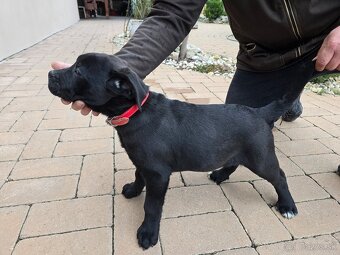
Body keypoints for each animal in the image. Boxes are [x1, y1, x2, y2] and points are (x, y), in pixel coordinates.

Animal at [47, 52, 298, 250]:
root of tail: (259, 112)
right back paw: (219, 175)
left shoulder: (158, 174)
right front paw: (133, 190)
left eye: (78, 71)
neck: (134, 113)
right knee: (233, 162)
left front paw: (148, 233)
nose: (50, 74)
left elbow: (152, 206)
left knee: (280, 177)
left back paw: (287, 206)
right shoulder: (144, 163)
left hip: (261, 157)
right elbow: (138, 176)